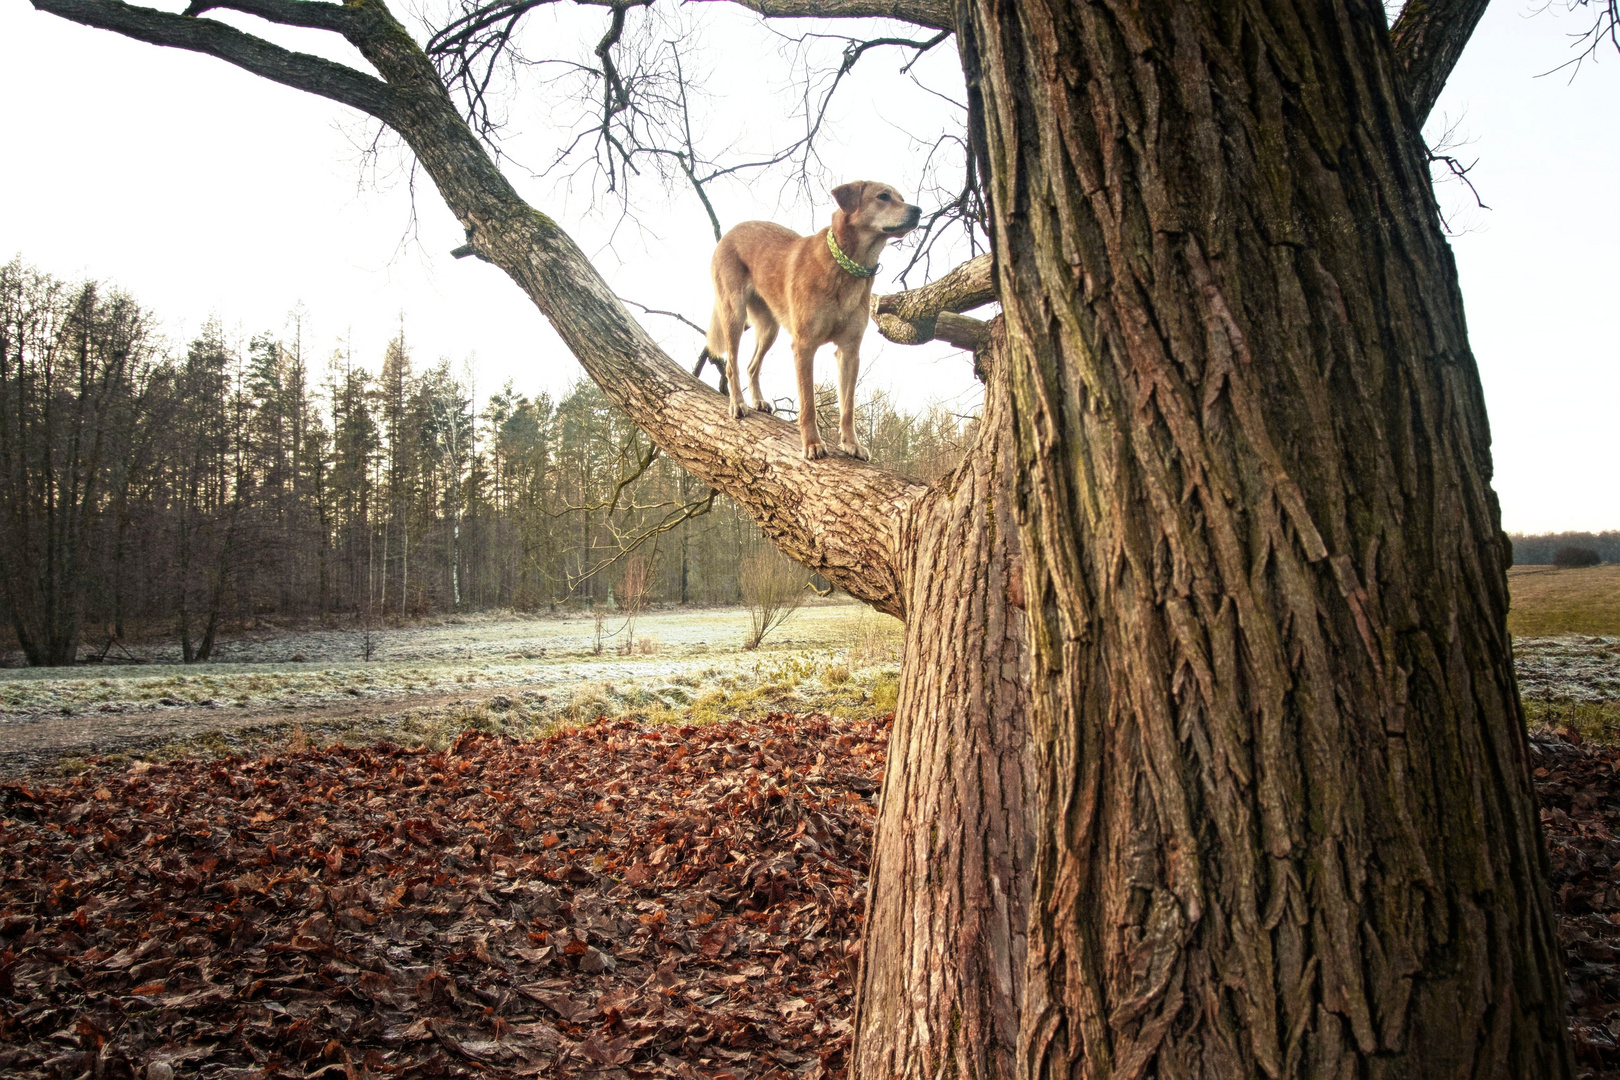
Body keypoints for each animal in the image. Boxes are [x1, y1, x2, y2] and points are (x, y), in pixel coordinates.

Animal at [699, 181, 920, 459]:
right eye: (883, 196)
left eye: (901, 197)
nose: (918, 210)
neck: (846, 266)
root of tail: (730, 232)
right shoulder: (804, 346)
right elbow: (808, 404)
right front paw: (812, 443)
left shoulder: (849, 351)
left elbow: (848, 406)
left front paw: (851, 443)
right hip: (734, 315)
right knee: (732, 366)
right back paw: (738, 403)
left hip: (769, 329)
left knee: (752, 366)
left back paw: (758, 400)